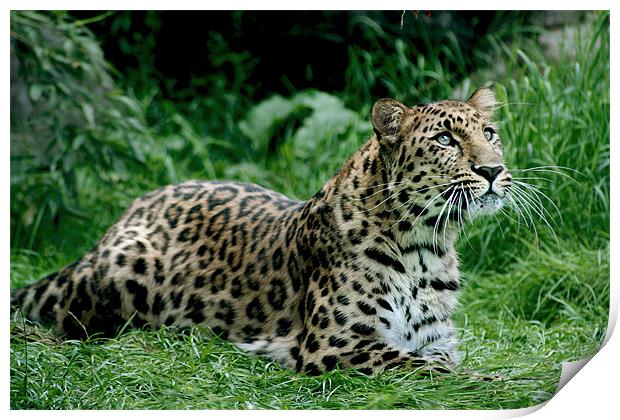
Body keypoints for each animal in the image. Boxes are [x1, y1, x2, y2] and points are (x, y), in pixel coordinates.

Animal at [12, 87, 512, 376]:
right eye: (445, 140)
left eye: (489, 133)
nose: (492, 170)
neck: (426, 244)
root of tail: (131, 208)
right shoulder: (337, 344)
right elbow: (426, 369)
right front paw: (491, 384)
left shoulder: (437, 341)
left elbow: (437, 363)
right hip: (122, 270)